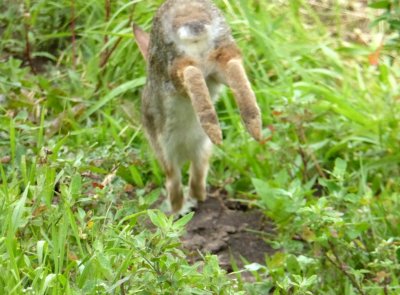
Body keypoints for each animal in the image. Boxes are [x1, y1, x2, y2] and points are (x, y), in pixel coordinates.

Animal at [133, 0, 260, 214]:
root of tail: (188, 14)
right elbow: (197, 176)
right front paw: (195, 201)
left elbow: (175, 183)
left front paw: (177, 210)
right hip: (219, 54)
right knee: (232, 63)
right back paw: (252, 123)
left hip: (171, 65)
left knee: (189, 71)